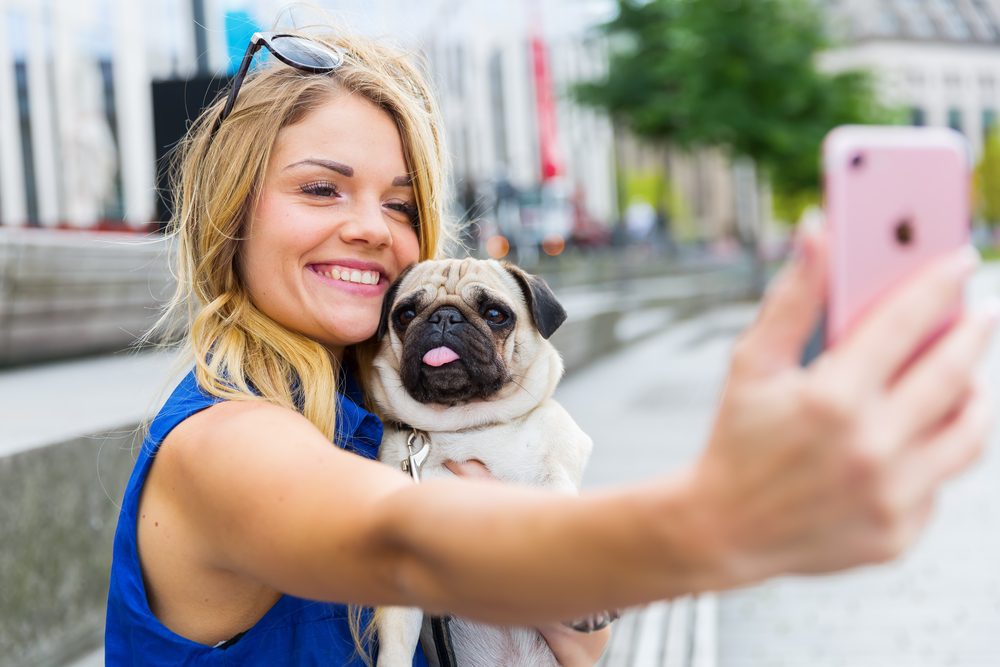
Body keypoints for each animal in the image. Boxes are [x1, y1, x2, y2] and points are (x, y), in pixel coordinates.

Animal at [364, 260, 604, 667]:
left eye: (495, 314)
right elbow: (395, 647)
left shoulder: (552, 473)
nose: (444, 316)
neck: (465, 427)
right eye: (405, 315)